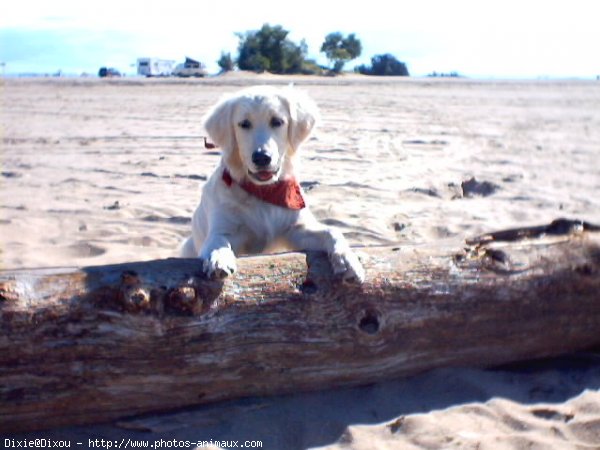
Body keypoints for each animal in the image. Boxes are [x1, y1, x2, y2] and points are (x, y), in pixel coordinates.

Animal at [179, 86, 366, 284]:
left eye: (277, 121)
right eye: (244, 124)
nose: (262, 158)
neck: (264, 191)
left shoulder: (296, 230)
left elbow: (332, 231)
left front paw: (348, 261)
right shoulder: (222, 229)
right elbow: (218, 240)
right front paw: (219, 258)